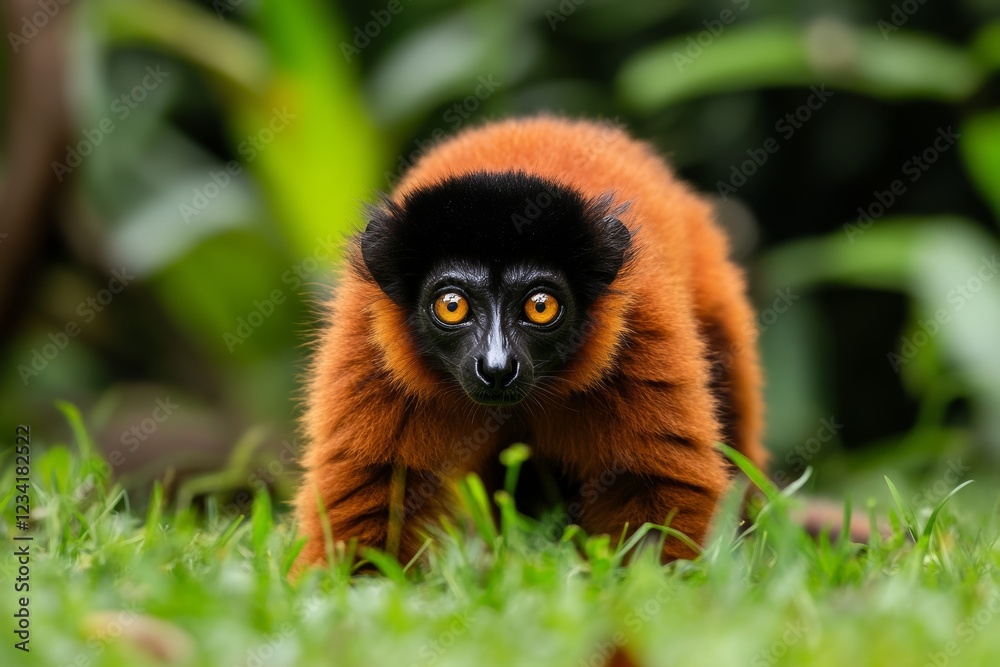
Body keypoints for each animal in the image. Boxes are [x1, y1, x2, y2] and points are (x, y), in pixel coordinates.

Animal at [292, 115, 767, 572]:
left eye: (541, 307)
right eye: (451, 306)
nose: (497, 367)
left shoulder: (641, 328)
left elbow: (657, 484)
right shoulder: (368, 343)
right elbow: (371, 487)